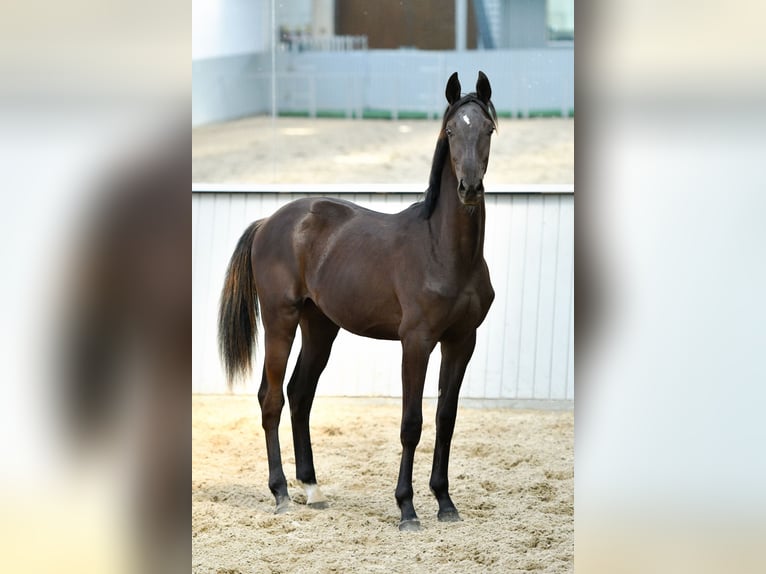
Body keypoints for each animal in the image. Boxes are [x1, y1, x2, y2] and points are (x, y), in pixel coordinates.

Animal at [219, 72, 500, 536]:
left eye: (489, 129)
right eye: (450, 131)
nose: (470, 188)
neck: (443, 252)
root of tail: (269, 222)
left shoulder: (462, 341)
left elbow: (446, 419)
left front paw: (445, 502)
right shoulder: (416, 343)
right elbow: (411, 423)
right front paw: (407, 509)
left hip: (320, 327)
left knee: (300, 394)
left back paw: (312, 489)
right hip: (281, 320)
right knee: (271, 398)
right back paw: (281, 493)